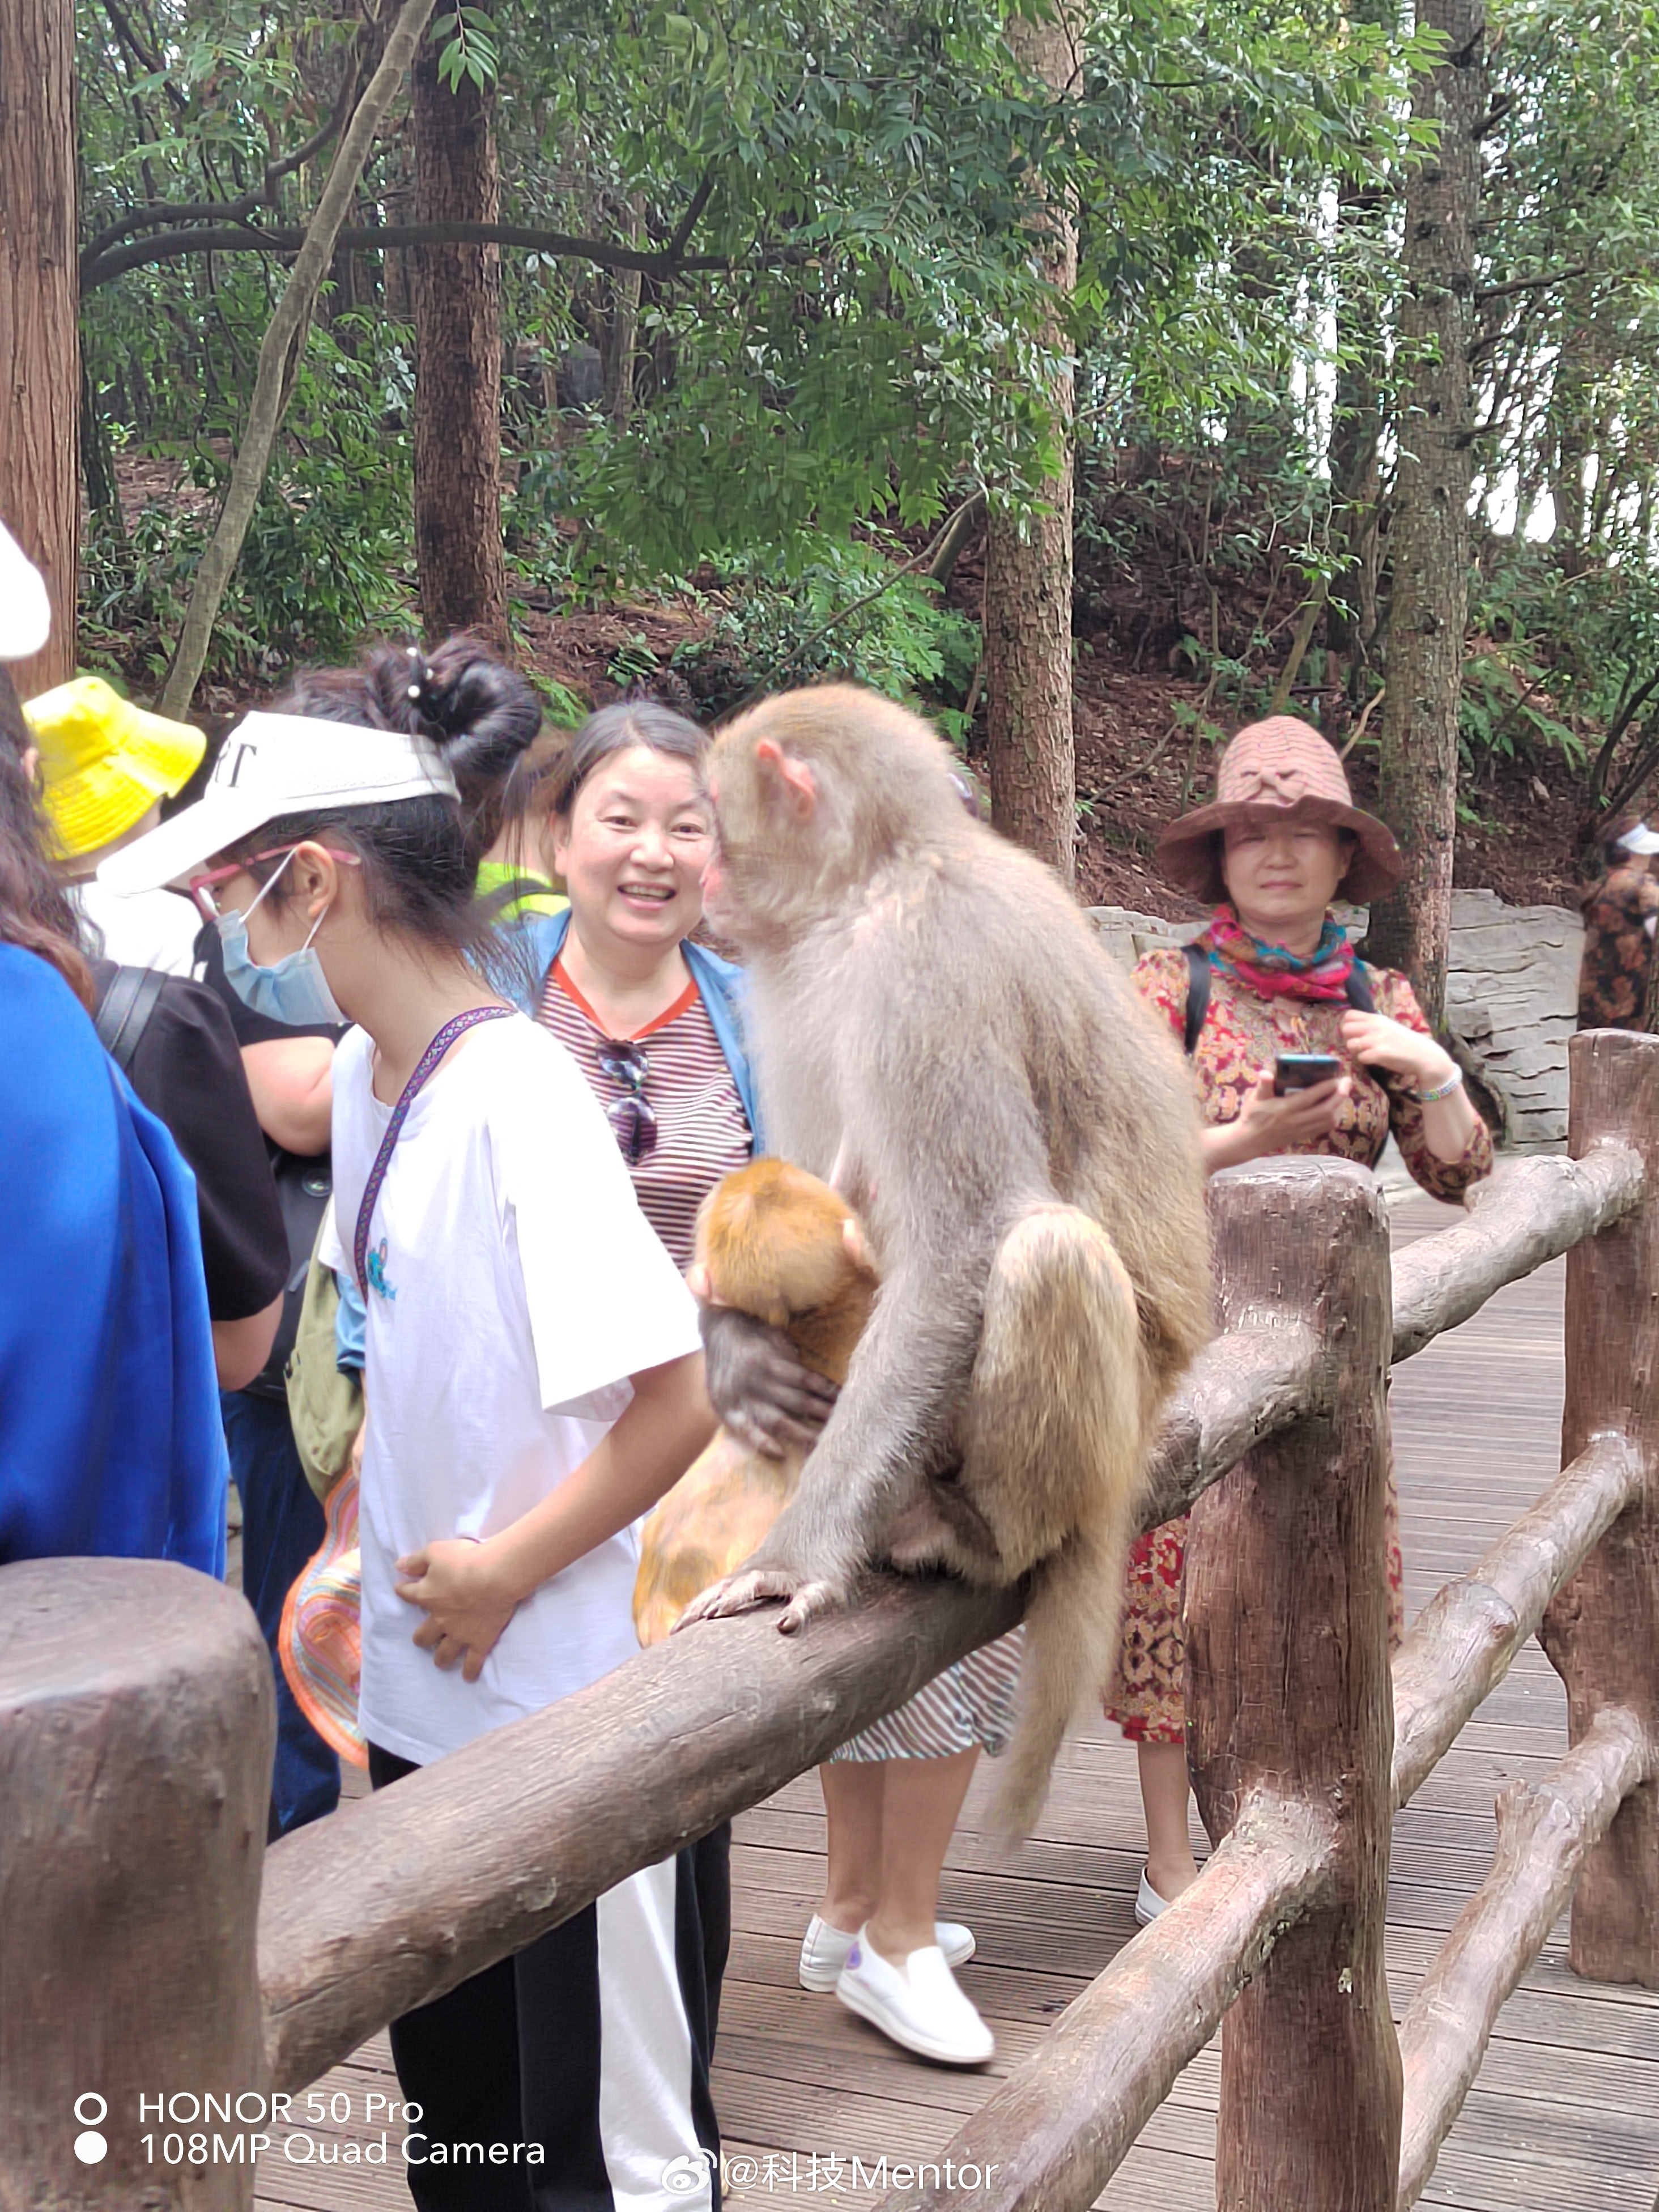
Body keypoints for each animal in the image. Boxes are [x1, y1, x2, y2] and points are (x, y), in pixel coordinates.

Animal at [681, 690, 1212, 1831]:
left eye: (708, 819)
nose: (697, 879)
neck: (878, 882)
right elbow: (788, 1193)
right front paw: (736, 1350)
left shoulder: (922, 976)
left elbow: (964, 1241)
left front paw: (792, 1561)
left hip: (1109, 1420)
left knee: (1046, 1253)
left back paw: (974, 1532)